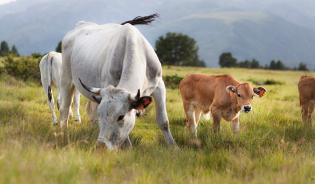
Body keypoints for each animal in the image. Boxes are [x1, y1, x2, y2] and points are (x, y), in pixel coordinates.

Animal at [59, 14, 178, 150]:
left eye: (121, 116)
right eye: (101, 115)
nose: (101, 146)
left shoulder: (159, 86)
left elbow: (163, 121)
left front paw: (174, 147)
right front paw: (128, 148)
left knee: (89, 111)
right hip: (66, 79)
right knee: (65, 108)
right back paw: (63, 133)